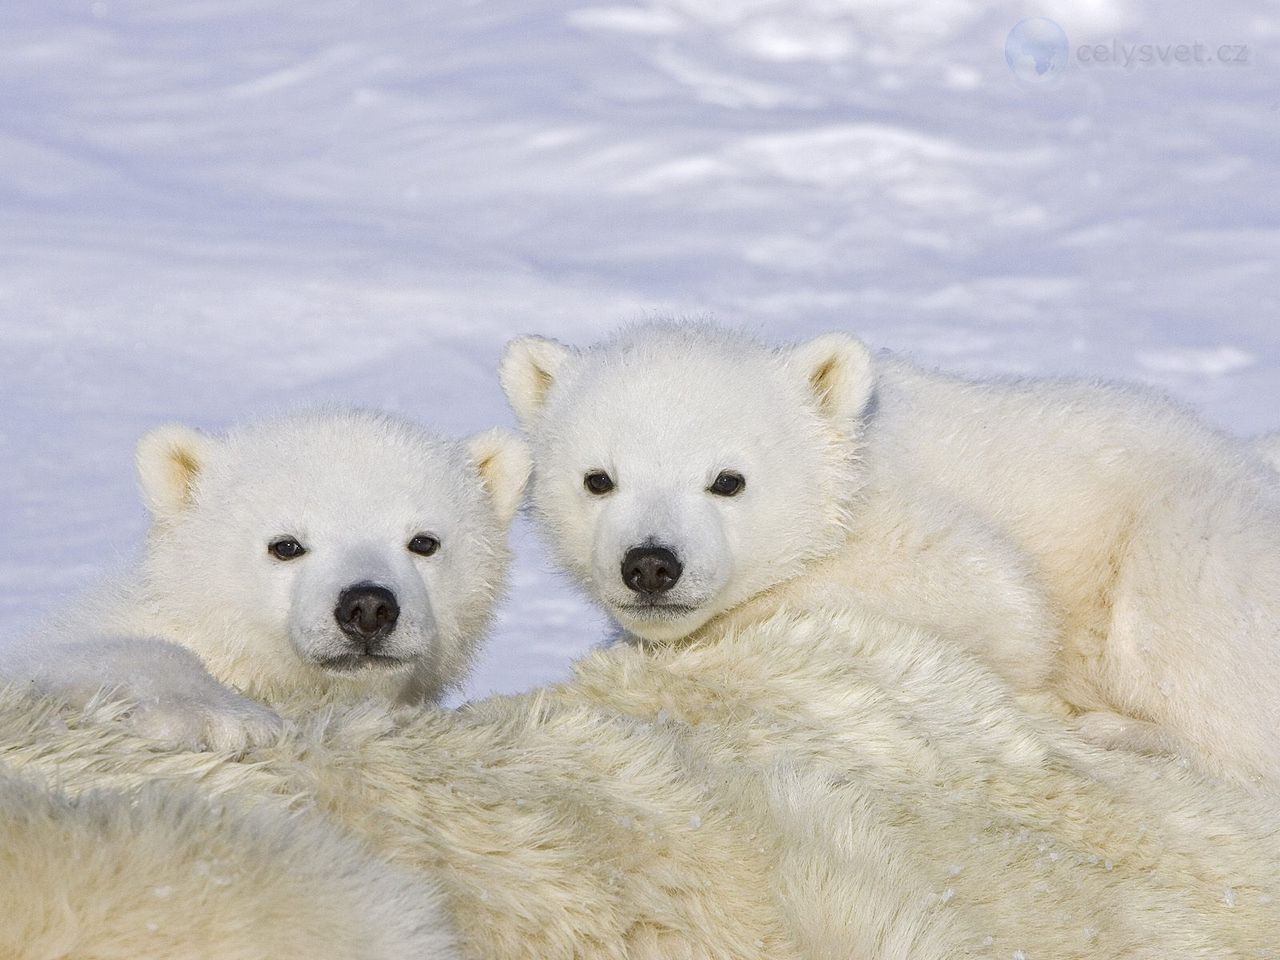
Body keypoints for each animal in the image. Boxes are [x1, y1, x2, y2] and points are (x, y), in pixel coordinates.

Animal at [499, 327, 1280, 793]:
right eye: (598, 478)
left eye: (728, 480)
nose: (651, 565)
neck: (850, 461)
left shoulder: (915, 529)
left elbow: (999, 604)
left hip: (1192, 533)